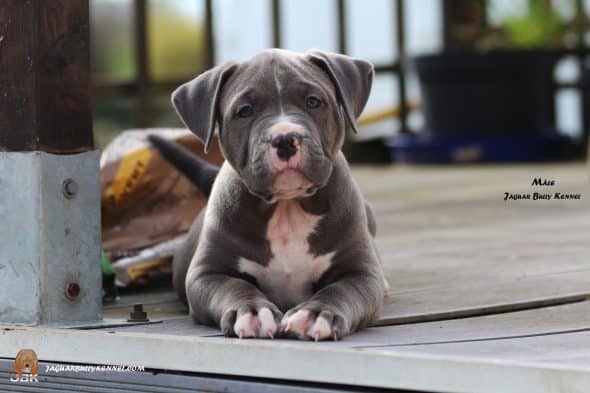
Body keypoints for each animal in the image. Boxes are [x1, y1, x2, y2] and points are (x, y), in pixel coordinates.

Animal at [155, 47, 390, 338]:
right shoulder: (206, 274)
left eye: (313, 101)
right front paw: (253, 311)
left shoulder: (361, 273)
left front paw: (315, 314)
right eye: (245, 111)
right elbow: (235, 286)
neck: (286, 206)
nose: (285, 139)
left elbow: (340, 290)